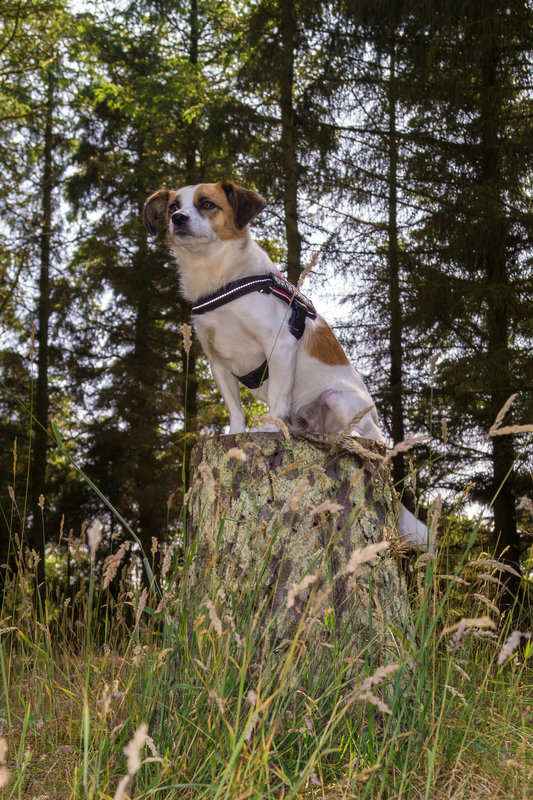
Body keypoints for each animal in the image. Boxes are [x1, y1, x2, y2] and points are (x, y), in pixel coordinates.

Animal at [143, 180, 430, 552]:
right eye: (173, 207)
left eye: (206, 204)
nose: (178, 218)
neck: (219, 279)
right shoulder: (217, 362)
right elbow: (234, 408)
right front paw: (237, 430)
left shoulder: (279, 347)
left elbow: (277, 399)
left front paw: (268, 426)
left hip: (339, 400)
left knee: (361, 435)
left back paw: (344, 435)